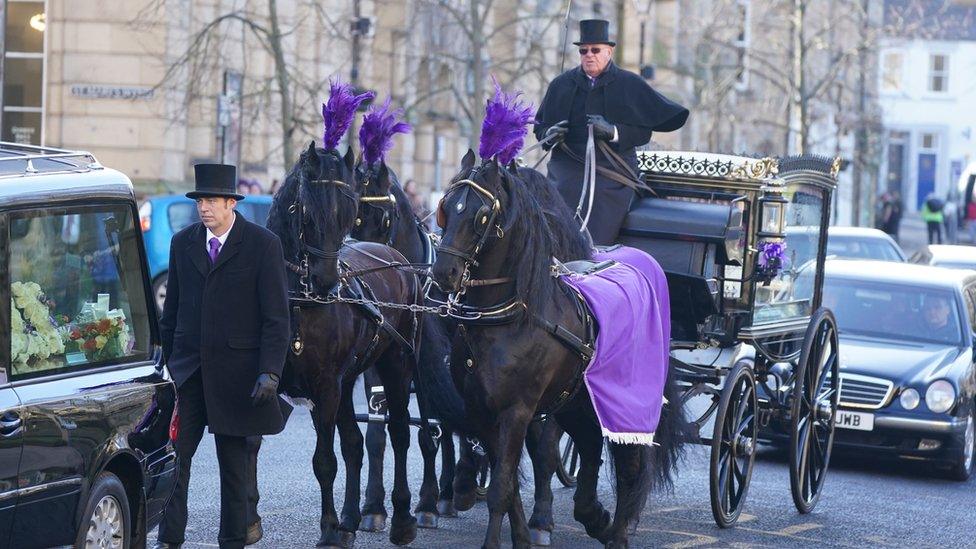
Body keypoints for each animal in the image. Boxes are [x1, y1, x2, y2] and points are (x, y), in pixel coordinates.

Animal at [266, 143, 420, 544]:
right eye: (307, 211)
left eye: (347, 212)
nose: (327, 282)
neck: (298, 302)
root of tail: (396, 259)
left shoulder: (325, 386)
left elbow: (324, 461)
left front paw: (327, 529)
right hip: (349, 378)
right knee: (354, 443)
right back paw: (352, 518)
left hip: (397, 363)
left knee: (399, 432)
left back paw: (402, 516)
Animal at [430, 151, 684, 548]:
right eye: (446, 207)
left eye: (481, 215)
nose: (444, 272)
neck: (508, 319)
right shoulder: (481, 411)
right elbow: (510, 484)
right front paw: (523, 537)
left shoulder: (518, 410)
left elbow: (503, 485)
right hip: (580, 403)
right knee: (591, 449)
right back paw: (595, 516)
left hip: (626, 405)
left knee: (629, 467)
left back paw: (617, 533)